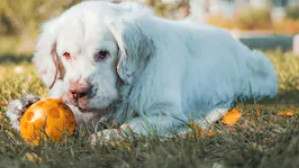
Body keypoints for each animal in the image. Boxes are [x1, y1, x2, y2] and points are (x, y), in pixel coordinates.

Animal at [6, 0, 278, 140]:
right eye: (66, 55)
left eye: (103, 53)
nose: (78, 92)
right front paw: (22, 108)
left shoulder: (167, 113)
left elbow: (134, 124)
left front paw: (107, 137)